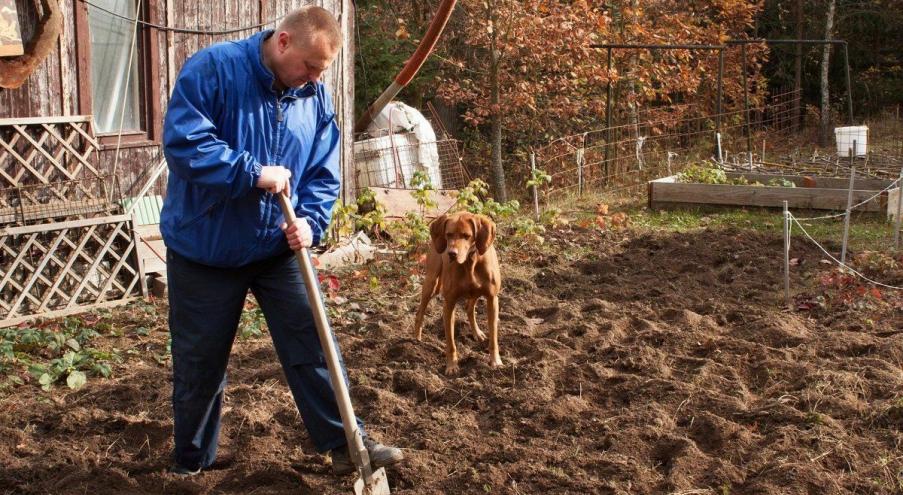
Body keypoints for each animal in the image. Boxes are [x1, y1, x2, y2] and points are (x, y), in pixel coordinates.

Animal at [414, 211, 504, 374]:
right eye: (448, 234)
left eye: (466, 235)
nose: (451, 253)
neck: (470, 262)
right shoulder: (449, 304)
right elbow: (450, 342)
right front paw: (452, 366)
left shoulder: (492, 299)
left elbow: (493, 338)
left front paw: (496, 361)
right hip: (431, 282)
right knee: (420, 312)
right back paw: (416, 340)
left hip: (474, 293)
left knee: (469, 308)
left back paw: (477, 333)